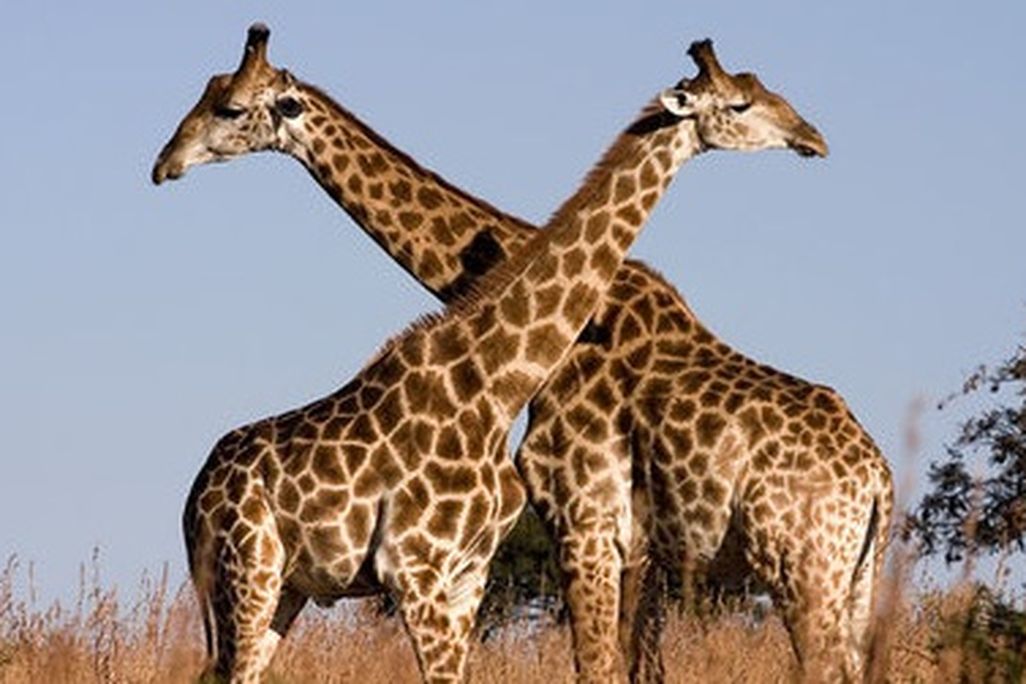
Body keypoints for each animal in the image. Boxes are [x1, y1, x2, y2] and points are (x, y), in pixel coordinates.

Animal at [153, 25, 888, 682]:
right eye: (743, 100)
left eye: (227, 107)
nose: (164, 163)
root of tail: (879, 478)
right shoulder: (581, 542)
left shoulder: (564, 534)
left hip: (813, 570)